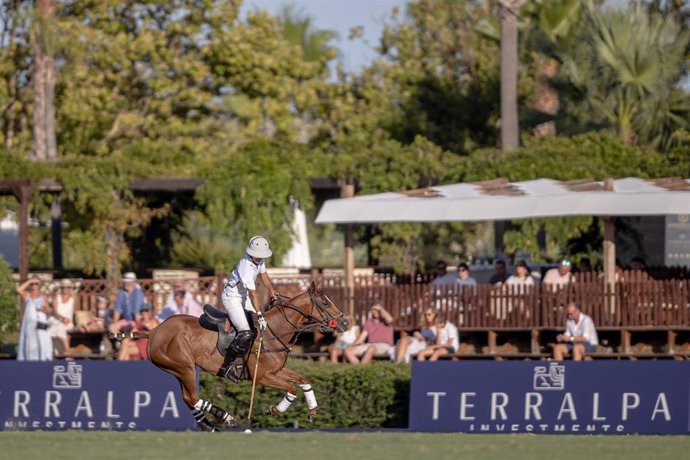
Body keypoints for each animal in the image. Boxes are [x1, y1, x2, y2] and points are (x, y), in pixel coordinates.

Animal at [141, 280, 344, 432]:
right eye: (325, 302)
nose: (345, 322)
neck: (273, 331)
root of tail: (154, 331)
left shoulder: (276, 371)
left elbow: (303, 380)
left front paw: (313, 412)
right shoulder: (261, 376)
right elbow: (291, 389)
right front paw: (272, 409)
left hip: (179, 370)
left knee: (187, 398)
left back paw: (208, 425)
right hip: (185, 367)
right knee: (191, 398)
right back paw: (226, 417)